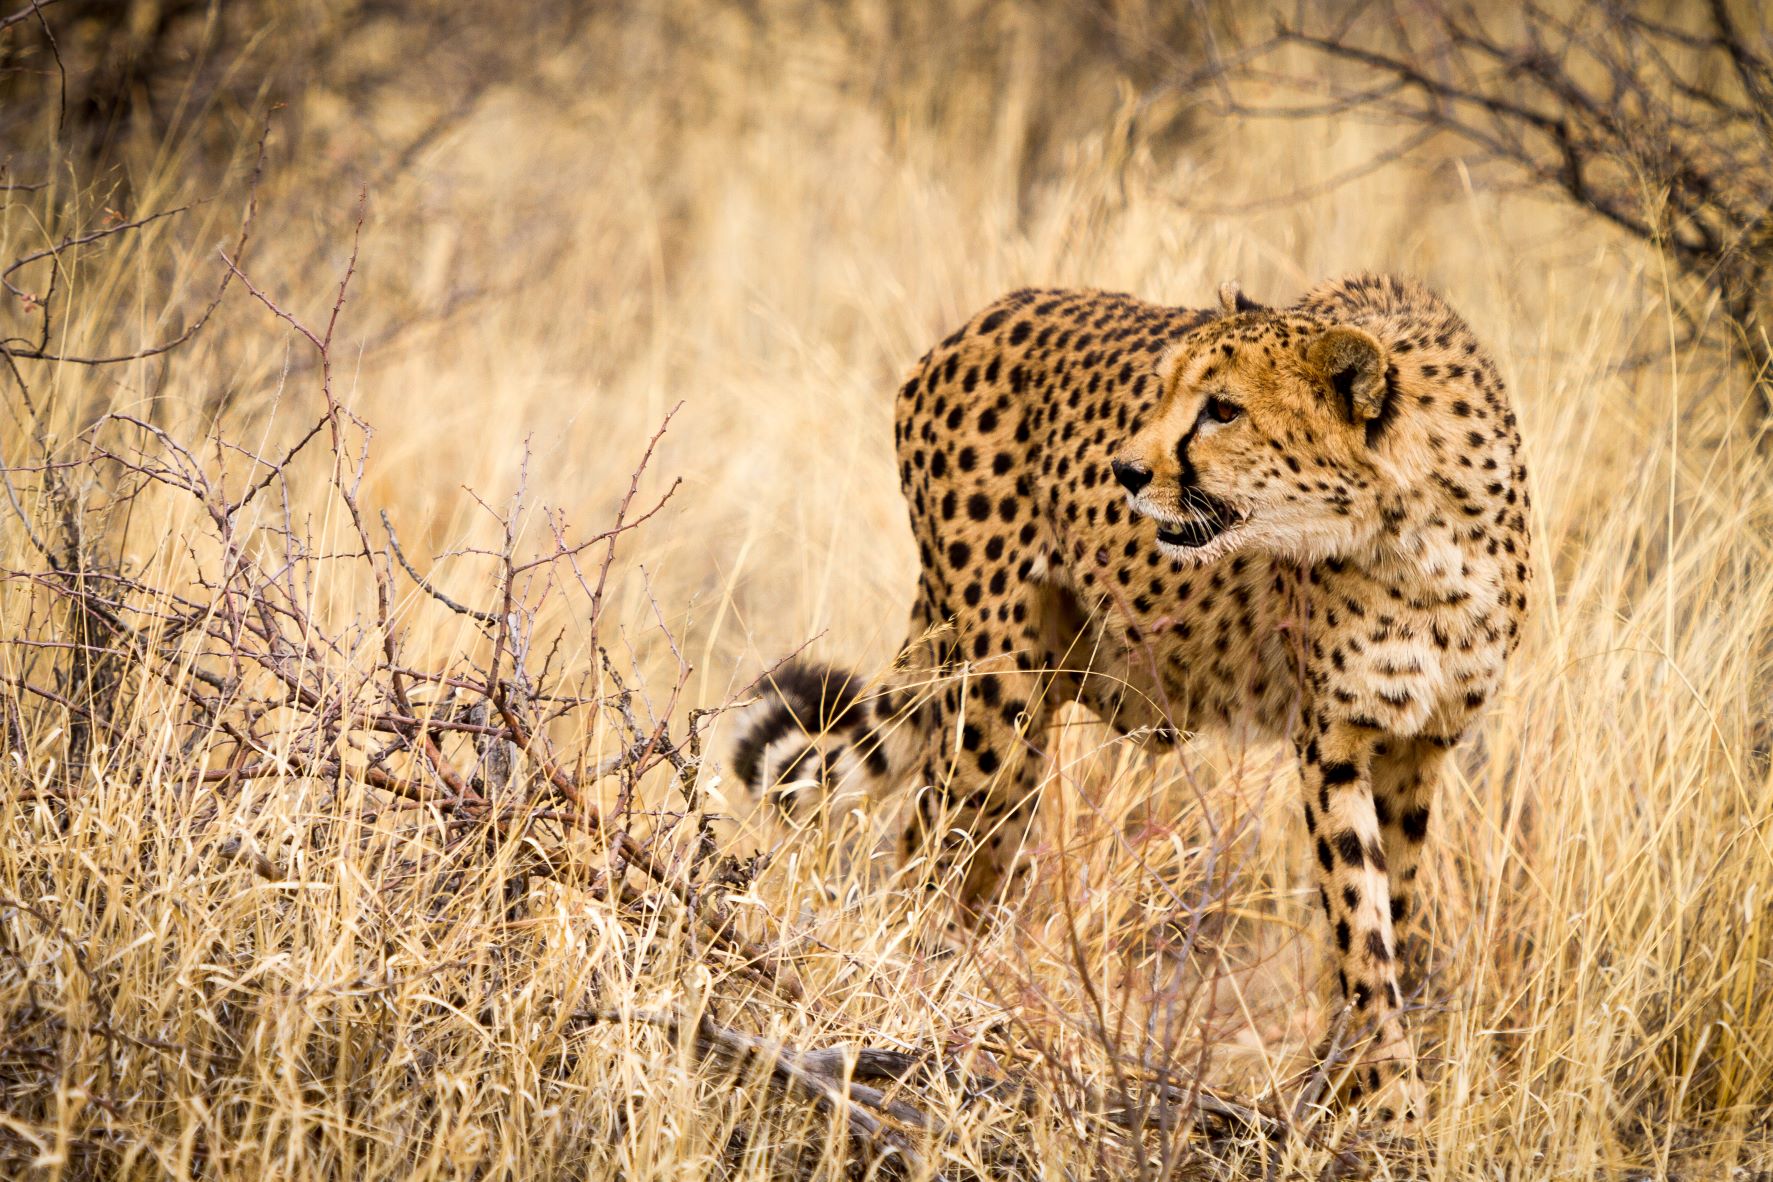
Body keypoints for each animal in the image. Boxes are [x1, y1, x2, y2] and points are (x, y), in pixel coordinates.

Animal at [726, 272, 1531, 1112]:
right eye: (1166, 390)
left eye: (1222, 409)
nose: (1127, 472)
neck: (1414, 535)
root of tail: (985, 316)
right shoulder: (1332, 742)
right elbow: (1358, 923)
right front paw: (1385, 1093)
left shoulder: (1418, 743)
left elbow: (1390, 912)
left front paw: (1343, 1080)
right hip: (995, 694)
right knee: (929, 847)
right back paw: (928, 1002)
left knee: (972, 860)